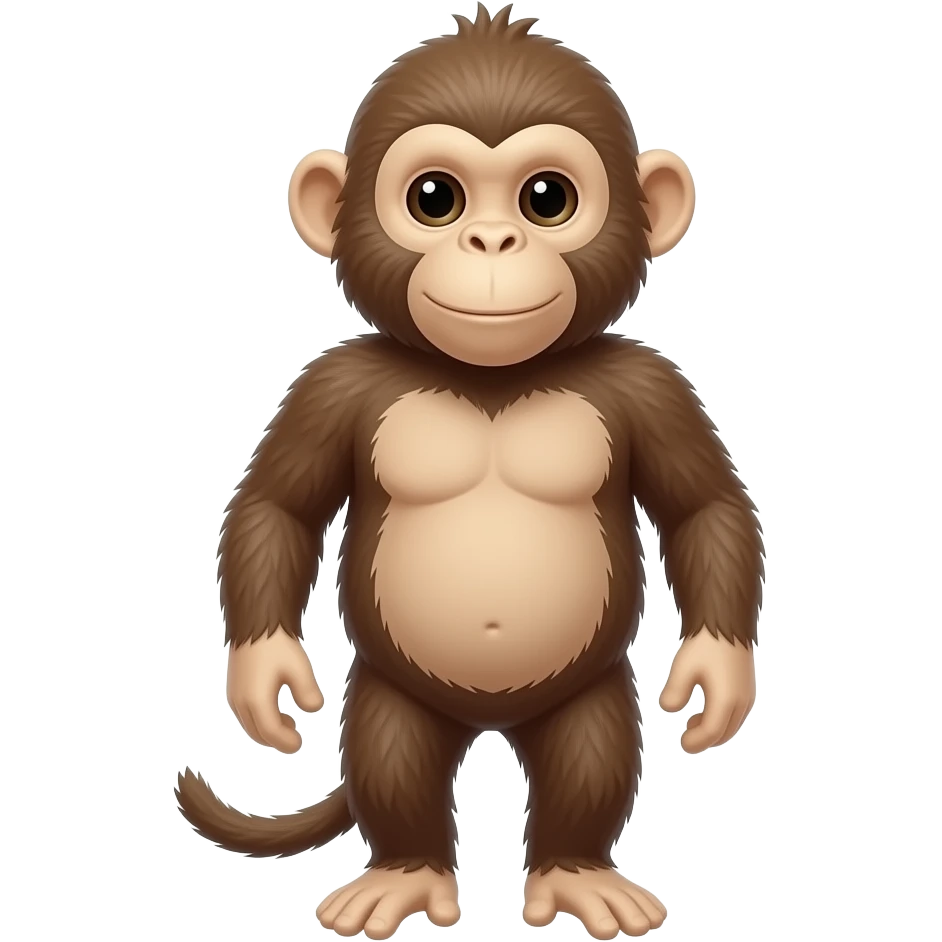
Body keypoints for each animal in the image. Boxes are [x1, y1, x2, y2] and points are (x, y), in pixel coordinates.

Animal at [175, 4, 766, 940]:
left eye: (547, 197)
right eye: (435, 199)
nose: (493, 238)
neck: (491, 378)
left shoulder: (652, 385)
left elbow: (704, 508)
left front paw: (718, 674)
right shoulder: (331, 384)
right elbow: (278, 507)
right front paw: (266, 677)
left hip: (585, 689)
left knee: (590, 749)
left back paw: (575, 873)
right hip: (396, 689)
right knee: (393, 751)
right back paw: (405, 873)